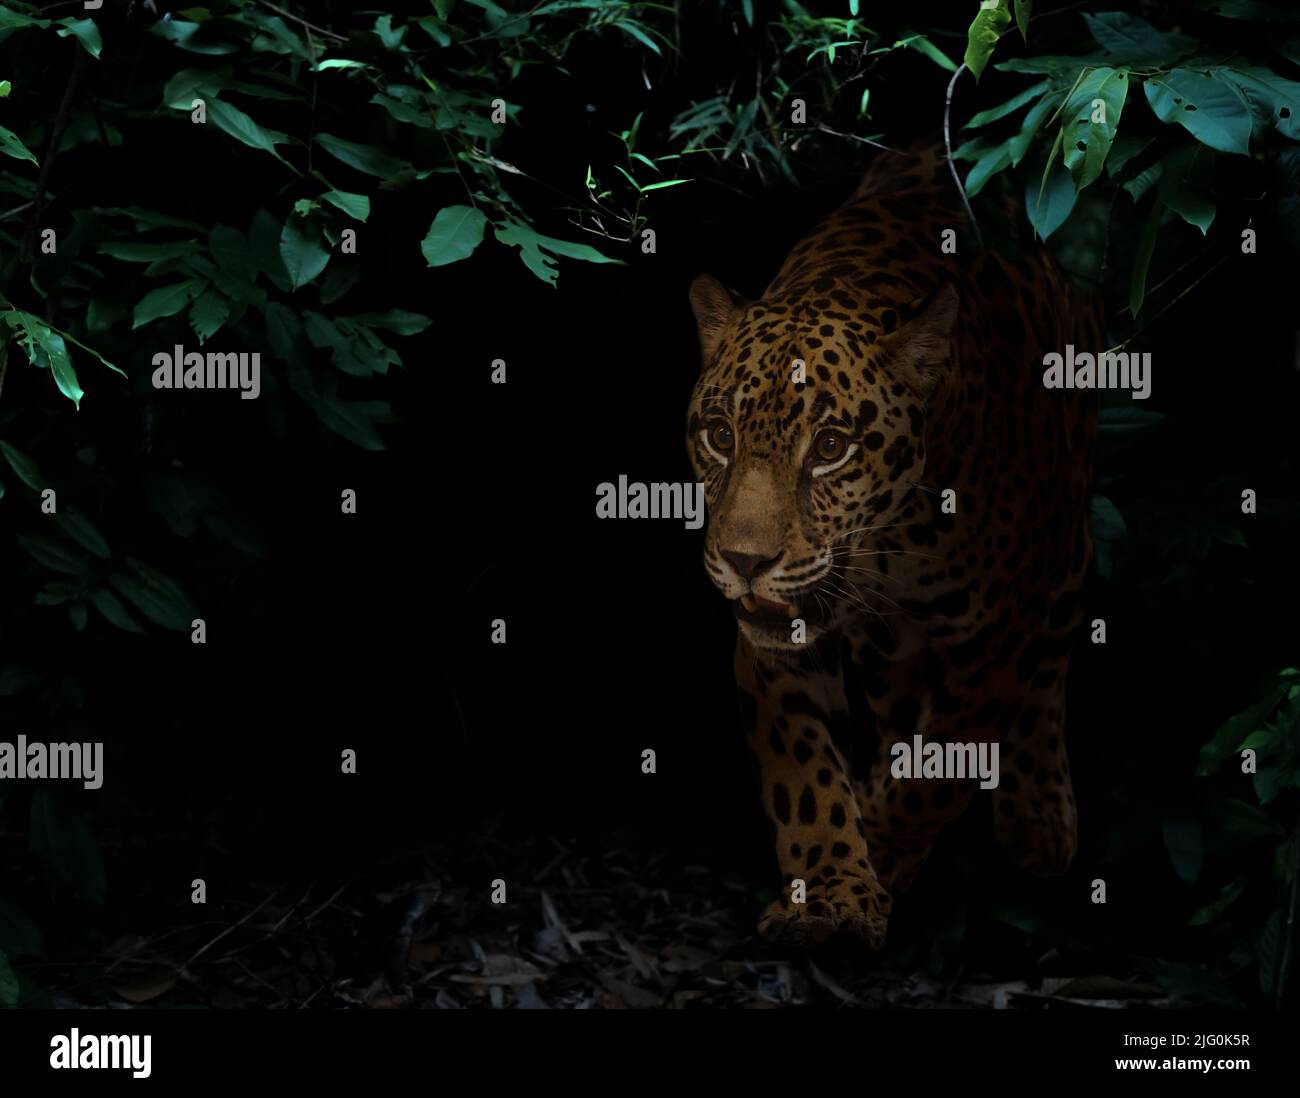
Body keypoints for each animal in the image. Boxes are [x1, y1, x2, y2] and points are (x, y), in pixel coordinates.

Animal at [684, 144, 1099, 949]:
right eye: (720, 435)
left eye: (832, 448)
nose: (746, 562)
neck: (888, 545)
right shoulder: (780, 647)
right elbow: (806, 776)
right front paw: (835, 893)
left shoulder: (994, 642)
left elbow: (938, 775)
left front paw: (874, 855)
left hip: (1068, 533)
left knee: (1054, 651)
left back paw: (1041, 820)